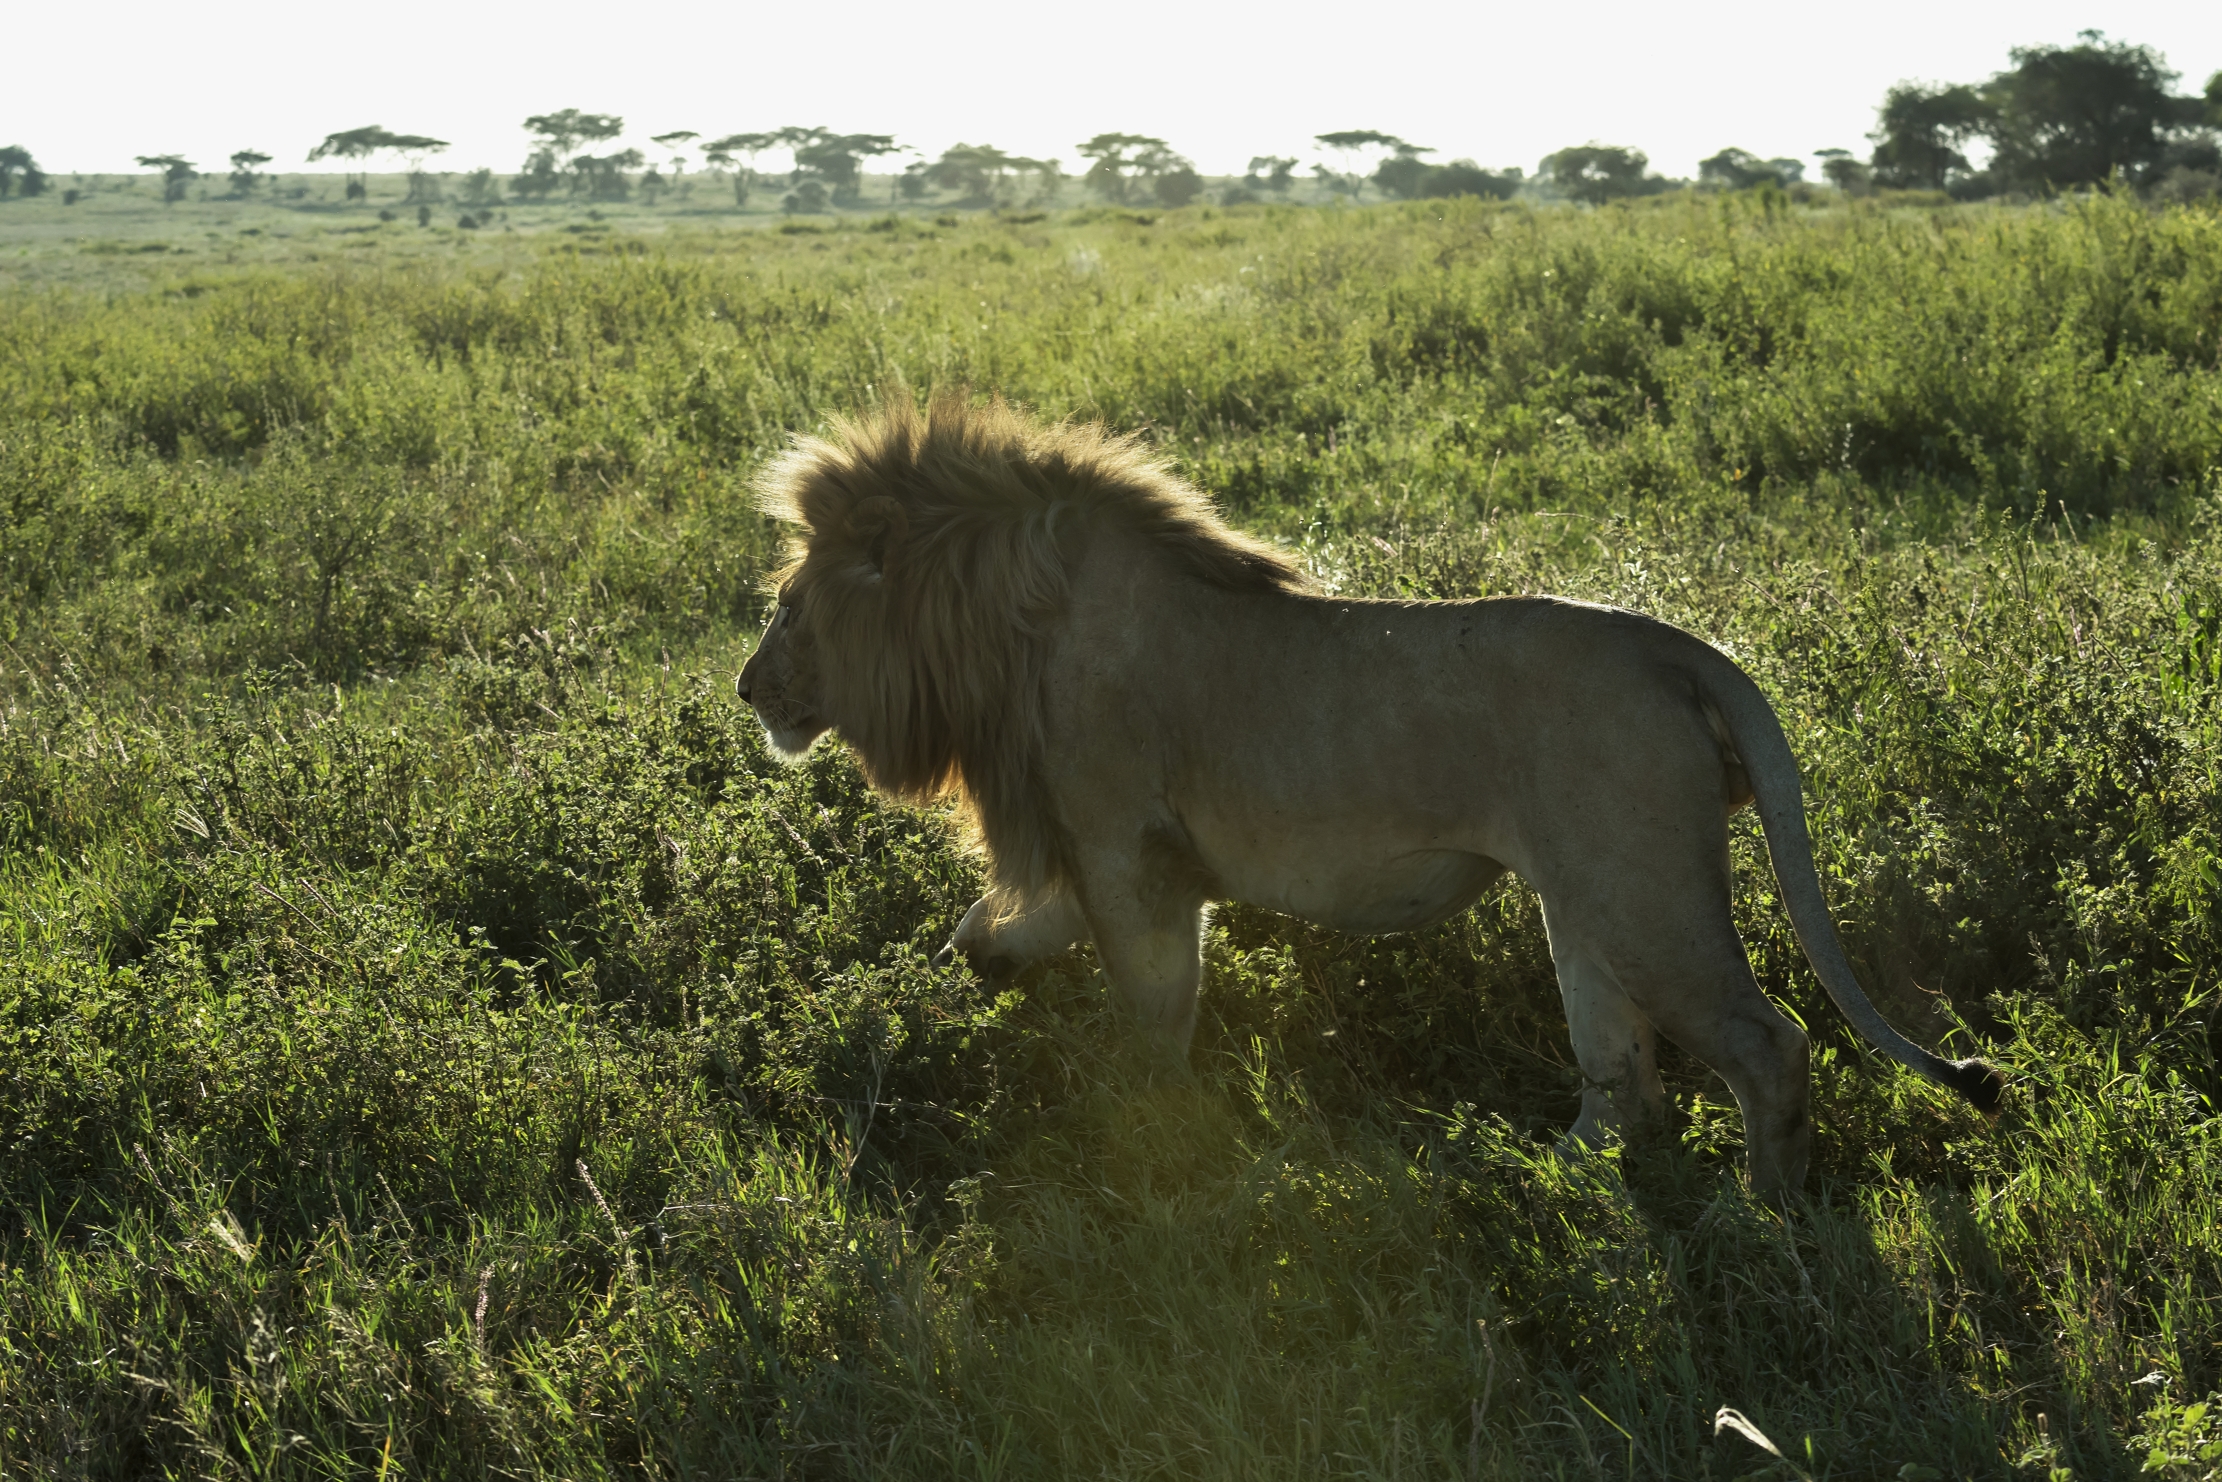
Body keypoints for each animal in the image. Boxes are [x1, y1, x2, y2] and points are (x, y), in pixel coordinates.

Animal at [736, 392, 2004, 1200]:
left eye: (788, 608)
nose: (748, 688)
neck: (1005, 635)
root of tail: (1678, 646)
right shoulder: (1111, 854)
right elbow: (1011, 932)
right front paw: (983, 962)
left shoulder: (1126, 852)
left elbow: (1153, 1009)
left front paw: (1153, 1137)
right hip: (1583, 904)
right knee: (1622, 1078)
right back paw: (1529, 1182)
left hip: (1644, 899)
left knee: (1765, 1046)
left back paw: (1765, 1224)